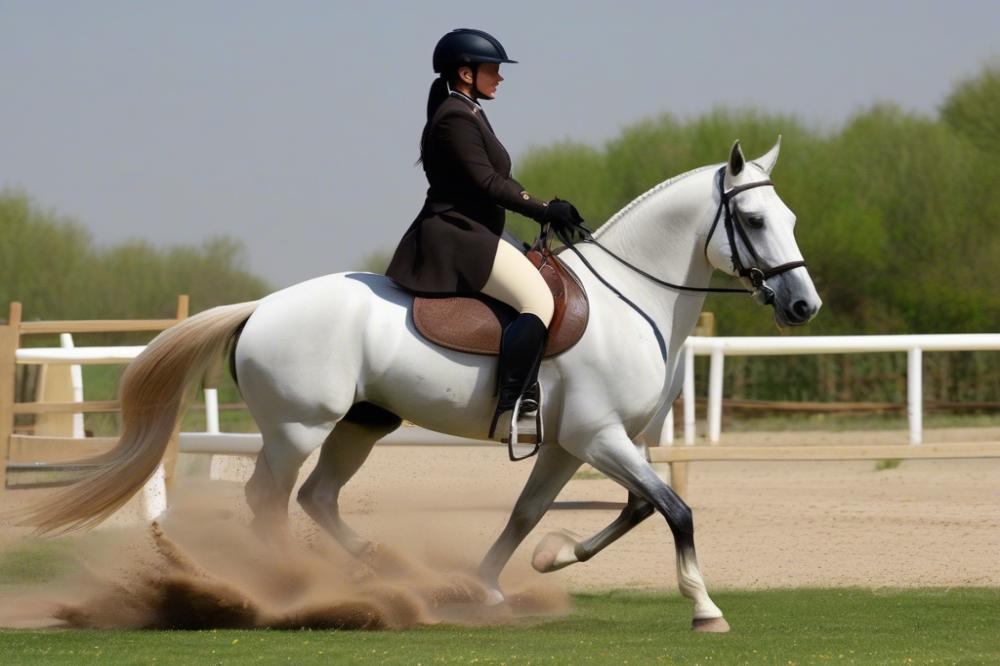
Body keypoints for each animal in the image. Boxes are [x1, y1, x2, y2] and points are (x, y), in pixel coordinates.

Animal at [27, 139, 820, 628]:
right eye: (753, 219)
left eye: (789, 215)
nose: (802, 307)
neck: (633, 299)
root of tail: (261, 308)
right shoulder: (599, 438)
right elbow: (675, 510)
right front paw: (705, 608)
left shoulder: (577, 445)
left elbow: (567, 513)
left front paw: (513, 574)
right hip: (296, 430)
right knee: (268, 504)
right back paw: (287, 591)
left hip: (361, 424)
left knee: (316, 499)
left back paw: (382, 571)